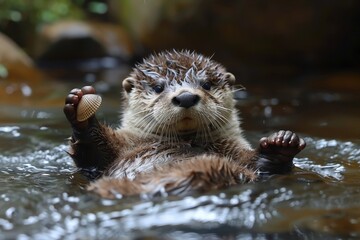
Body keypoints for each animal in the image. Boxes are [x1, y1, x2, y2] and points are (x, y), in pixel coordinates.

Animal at [64, 49, 304, 198]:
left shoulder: (234, 148)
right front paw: (79, 108)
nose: (186, 97)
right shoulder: (117, 151)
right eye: (158, 87)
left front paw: (281, 144)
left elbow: (256, 164)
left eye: (206, 85)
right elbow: (93, 155)